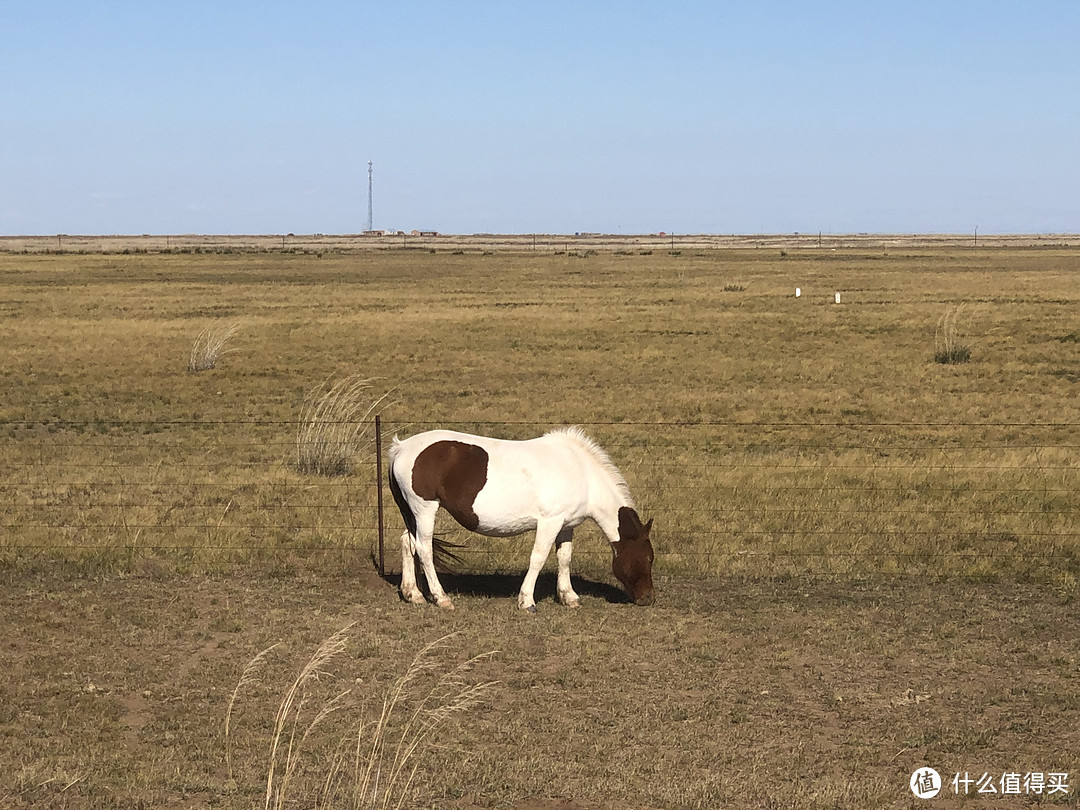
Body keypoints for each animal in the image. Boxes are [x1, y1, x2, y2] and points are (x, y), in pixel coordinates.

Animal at [393, 427, 652, 613]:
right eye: (647, 558)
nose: (648, 598)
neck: (581, 472)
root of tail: (401, 447)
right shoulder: (549, 522)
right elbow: (538, 558)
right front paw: (527, 601)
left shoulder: (566, 525)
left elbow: (564, 558)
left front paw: (568, 597)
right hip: (425, 509)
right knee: (424, 548)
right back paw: (441, 598)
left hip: (413, 514)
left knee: (408, 543)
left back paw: (413, 594)